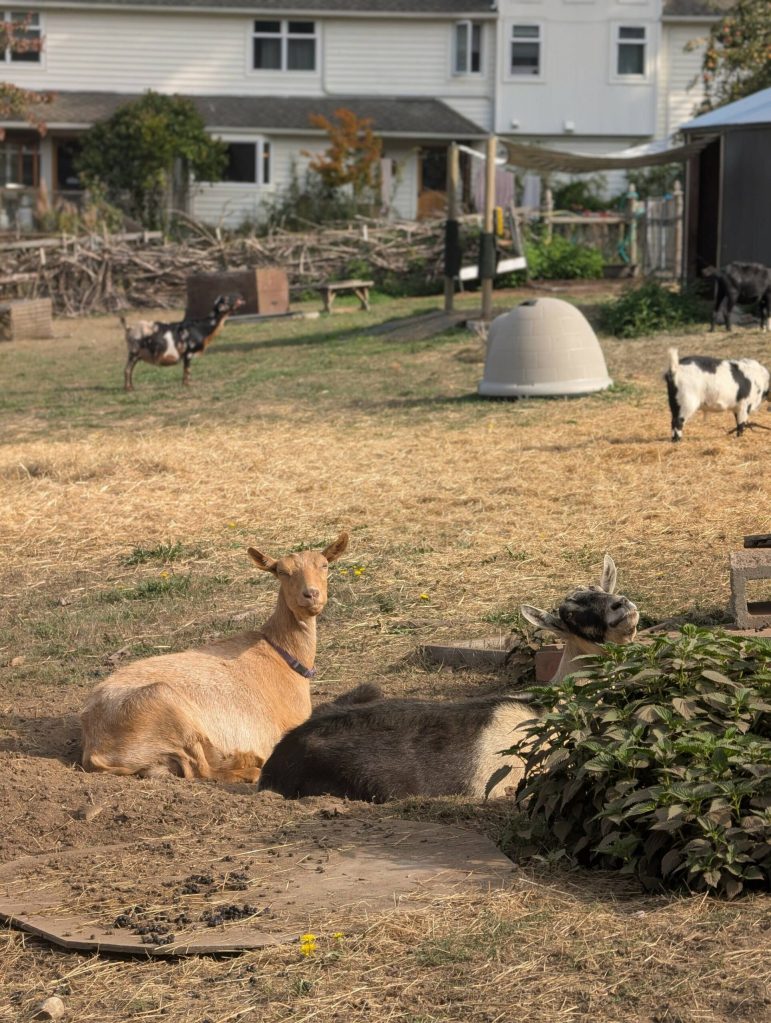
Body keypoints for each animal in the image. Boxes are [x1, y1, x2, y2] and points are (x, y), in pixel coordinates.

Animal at [80, 532, 349, 782]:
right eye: (282, 571)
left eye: (324, 565)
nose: (310, 594)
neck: (281, 654)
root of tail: (94, 749)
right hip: (167, 708)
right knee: (202, 770)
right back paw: (251, 767)